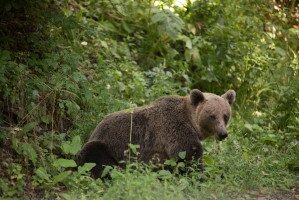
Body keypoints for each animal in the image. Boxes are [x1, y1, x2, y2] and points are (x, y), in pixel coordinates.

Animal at [78, 90, 237, 177]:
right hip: (107, 144)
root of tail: (96, 128)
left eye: (225, 115)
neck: (191, 121)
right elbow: (187, 156)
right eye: (212, 116)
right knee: (94, 157)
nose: (223, 133)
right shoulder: (174, 129)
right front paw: (202, 175)